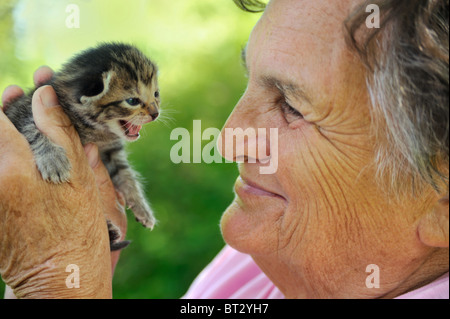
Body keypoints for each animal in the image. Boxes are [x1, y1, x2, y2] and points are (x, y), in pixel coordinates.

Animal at [4, 43, 160, 251]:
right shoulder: (20, 114)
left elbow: (125, 175)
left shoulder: (111, 152)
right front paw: (53, 159)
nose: (156, 113)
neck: (96, 132)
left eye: (156, 94)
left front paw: (142, 208)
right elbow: (31, 129)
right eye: (132, 101)